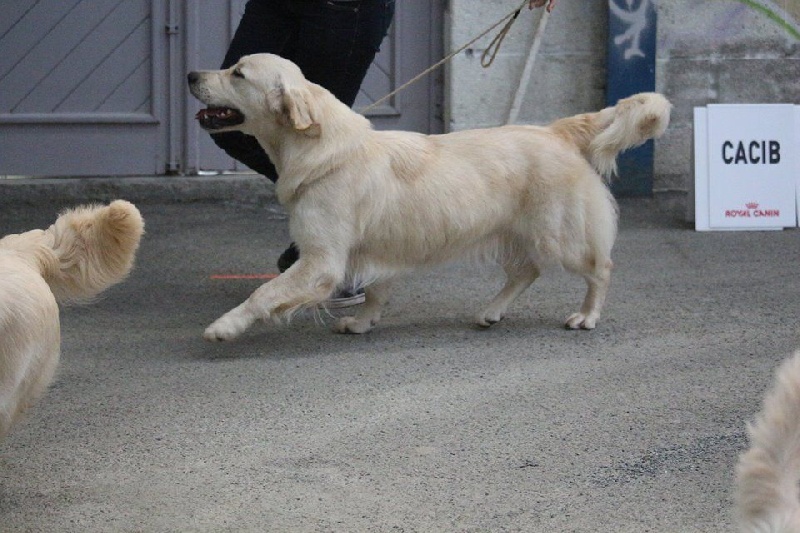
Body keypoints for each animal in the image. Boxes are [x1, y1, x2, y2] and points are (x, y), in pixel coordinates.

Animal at [188, 53, 668, 340]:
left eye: (238, 73)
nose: (191, 74)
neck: (318, 148)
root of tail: (556, 130)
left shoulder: (322, 260)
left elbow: (264, 293)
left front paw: (224, 325)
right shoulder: (371, 249)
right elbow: (376, 291)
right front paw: (363, 321)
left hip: (561, 234)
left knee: (600, 269)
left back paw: (587, 316)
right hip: (517, 233)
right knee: (526, 271)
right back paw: (491, 311)